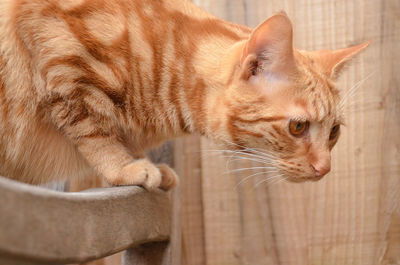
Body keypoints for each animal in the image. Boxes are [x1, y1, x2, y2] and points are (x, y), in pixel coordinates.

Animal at [0, 0, 368, 189]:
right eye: (298, 127)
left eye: (334, 131)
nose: (324, 169)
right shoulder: (61, 61)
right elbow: (94, 132)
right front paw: (124, 167)